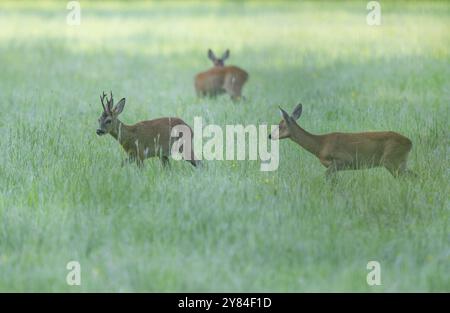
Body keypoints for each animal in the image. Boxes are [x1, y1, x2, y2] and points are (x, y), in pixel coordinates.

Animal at [268, 103, 414, 179]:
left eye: (280, 125)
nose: (269, 135)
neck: (320, 146)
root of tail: (410, 143)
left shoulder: (342, 160)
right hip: (399, 161)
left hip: (391, 160)